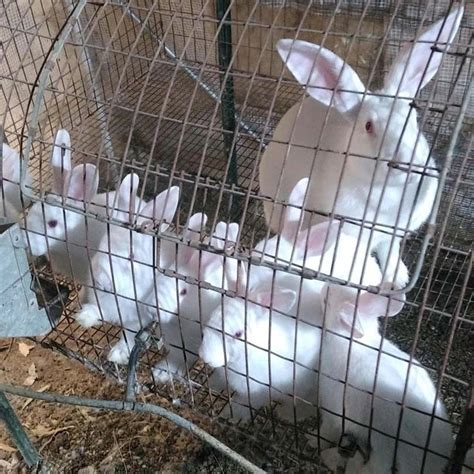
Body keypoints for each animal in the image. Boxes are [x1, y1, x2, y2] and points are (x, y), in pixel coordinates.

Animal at [75, 173, 181, 362]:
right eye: (103, 246)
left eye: (132, 257)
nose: (102, 280)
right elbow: (98, 311)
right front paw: (83, 317)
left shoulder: (137, 320)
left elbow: (129, 336)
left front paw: (117, 355)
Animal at [260, 7, 462, 286]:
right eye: (368, 126)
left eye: (413, 118)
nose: (406, 163)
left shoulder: (392, 233)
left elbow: (390, 251)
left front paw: (397, 280)